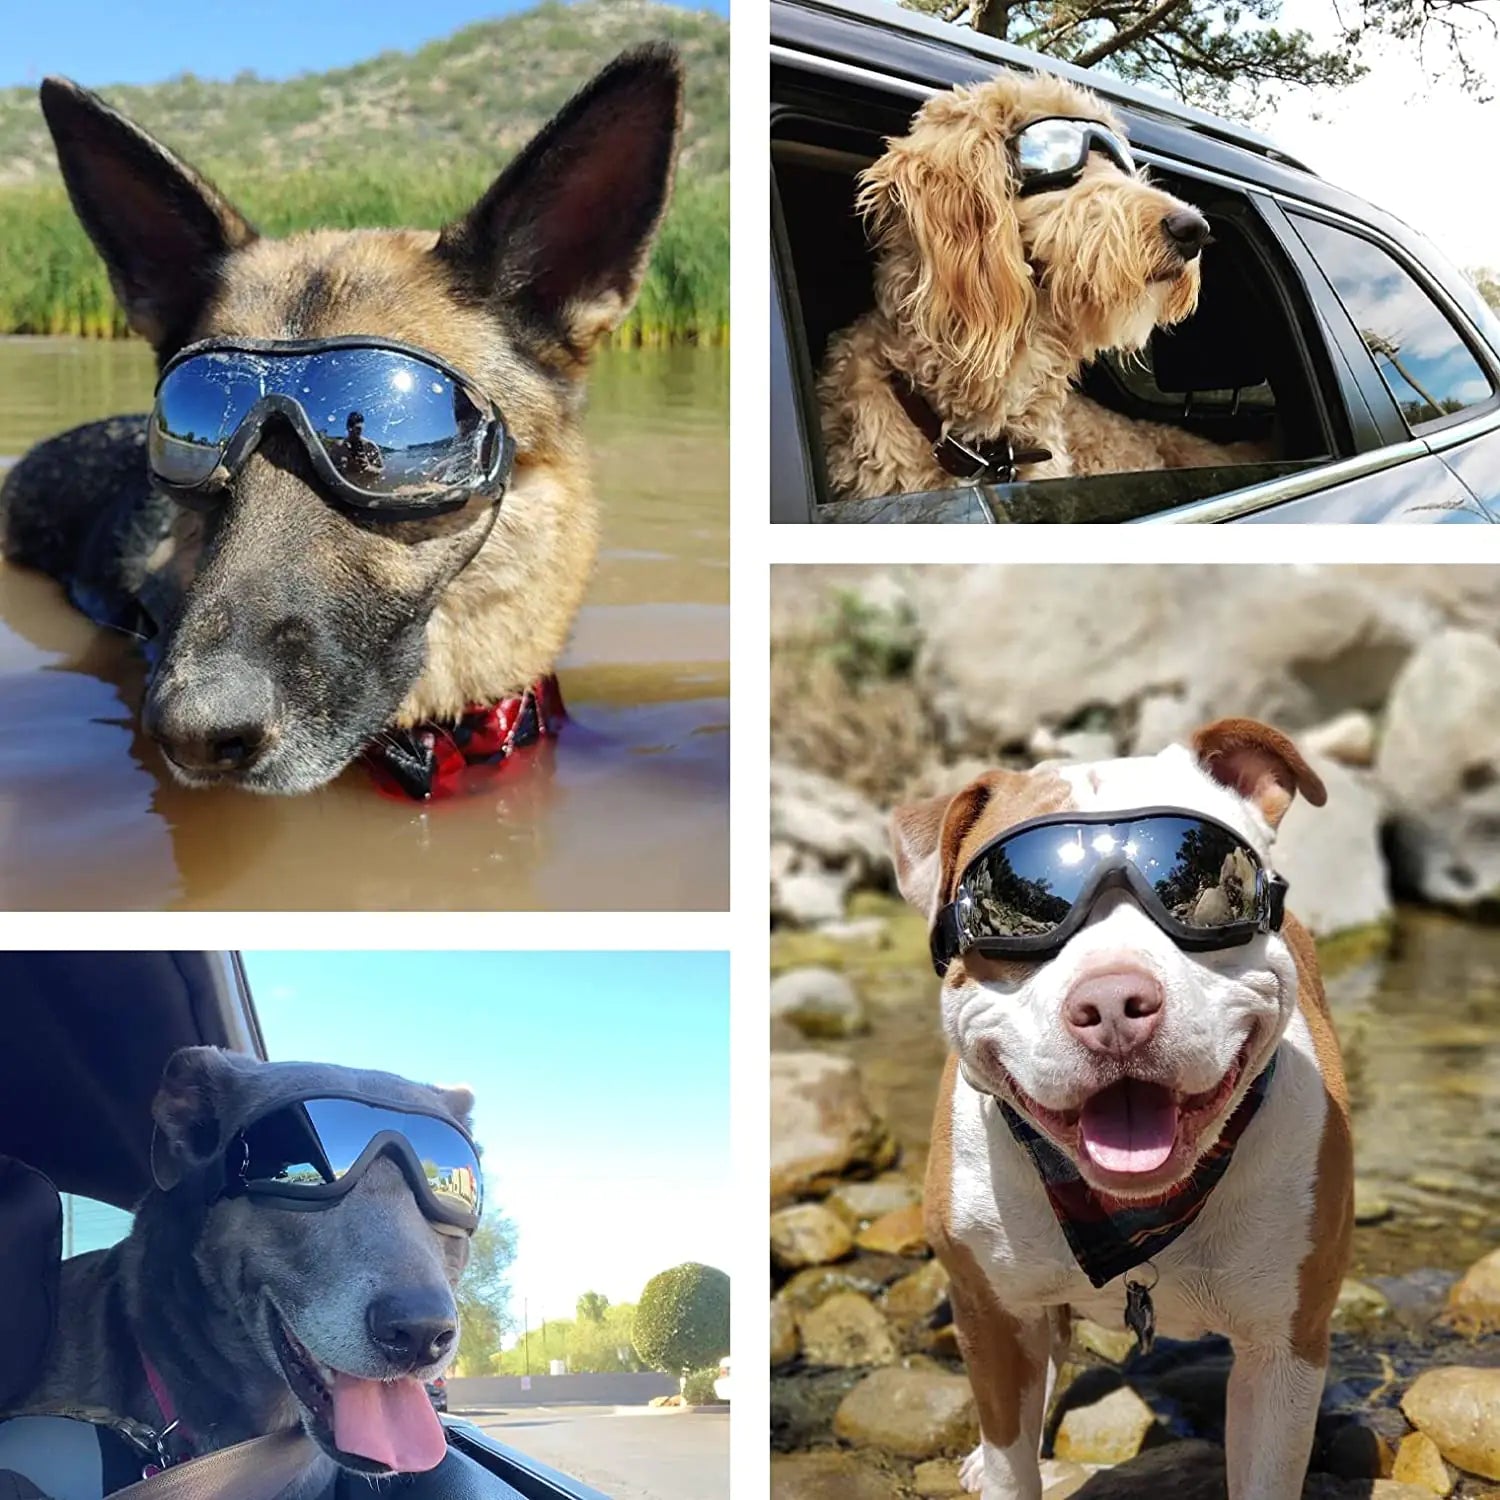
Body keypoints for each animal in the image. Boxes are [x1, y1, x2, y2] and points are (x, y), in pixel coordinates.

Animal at [888, 717, 1362, 1500]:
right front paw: (999, 1464)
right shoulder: (990, 1315)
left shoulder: (1283, 1349)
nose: (1112, 1003)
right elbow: (1013, 1461)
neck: (1129, 1218)